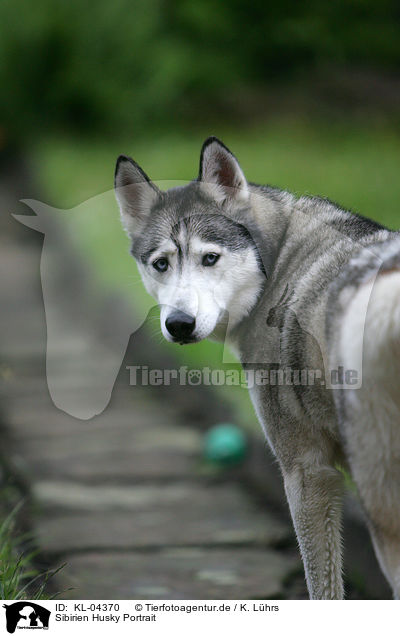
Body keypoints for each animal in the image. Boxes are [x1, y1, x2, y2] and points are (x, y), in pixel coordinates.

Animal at [114, 137, 400, 600]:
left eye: (210, 258)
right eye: (161, 264)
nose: (179, 324)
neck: (279, 259)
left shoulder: (306, 472)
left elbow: (323, 589)